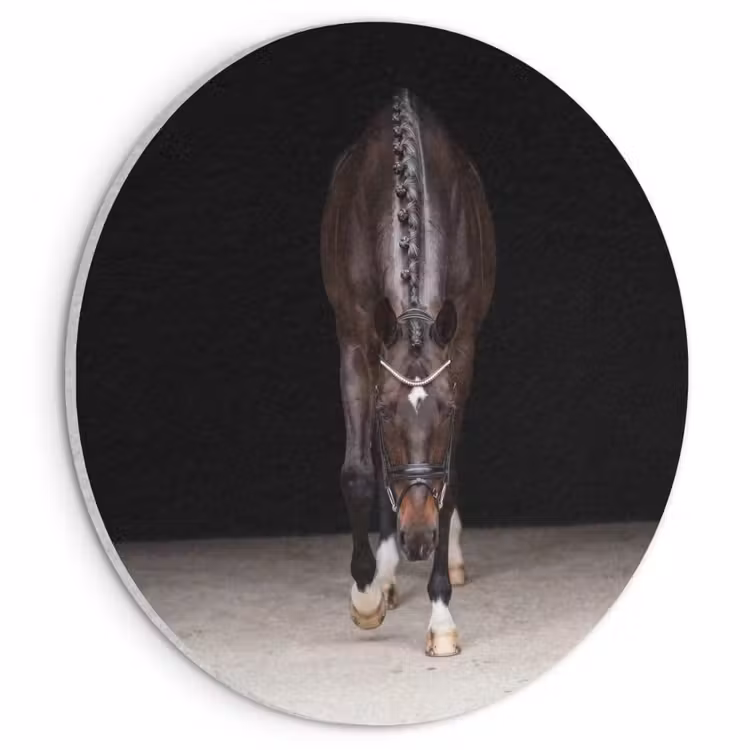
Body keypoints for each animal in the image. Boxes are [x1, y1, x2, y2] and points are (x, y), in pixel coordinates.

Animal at [320, 89, 496, 656]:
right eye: (384, 412)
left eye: (446, 411)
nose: (418, 539)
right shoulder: (356, 342)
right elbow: (359, 472)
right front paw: (367, 594)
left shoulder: (462, 350)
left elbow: (449, 481)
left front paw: (441, 617)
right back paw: (386, 572)